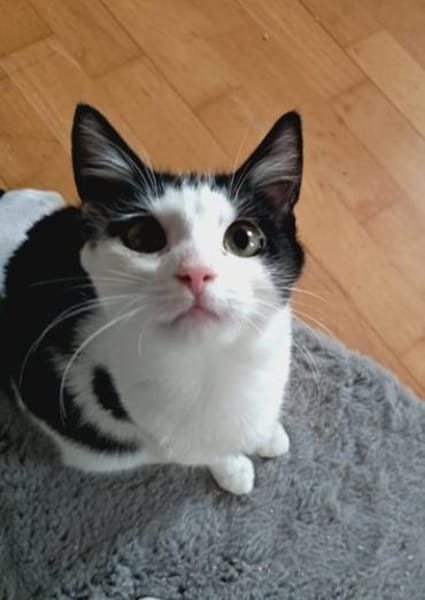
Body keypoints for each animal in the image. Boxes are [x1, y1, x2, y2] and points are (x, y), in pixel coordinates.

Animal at [2, 104, 304, 495]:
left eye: (243, 239)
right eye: (142, 236)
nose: (196, 272)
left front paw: (267, 434)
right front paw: (233, 468)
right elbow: (196, 452)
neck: (211, 360)